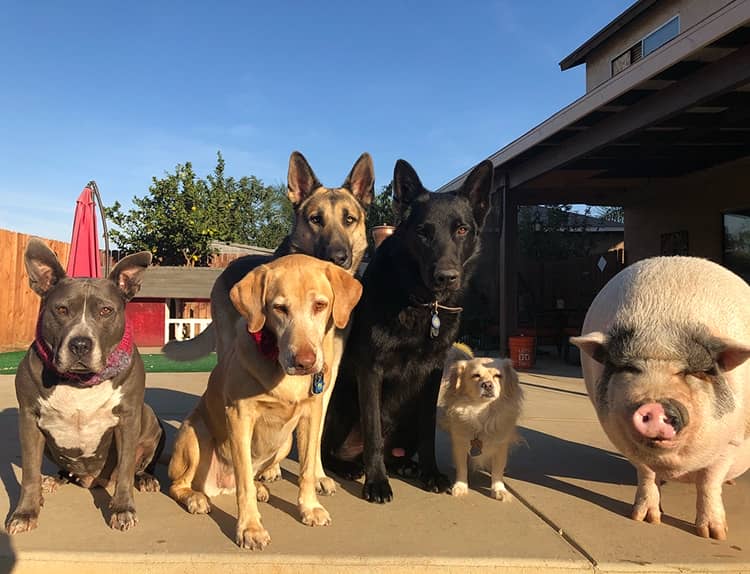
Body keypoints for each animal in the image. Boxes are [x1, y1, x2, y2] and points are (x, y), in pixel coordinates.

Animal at [571, 256, 750, 540]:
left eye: (693, 371)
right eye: (629, 368)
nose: (655, 405)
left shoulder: (730, 441)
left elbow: (709, 482)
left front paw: (713, 535)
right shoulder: (623, 439)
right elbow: (645, 474)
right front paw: (645, 519)